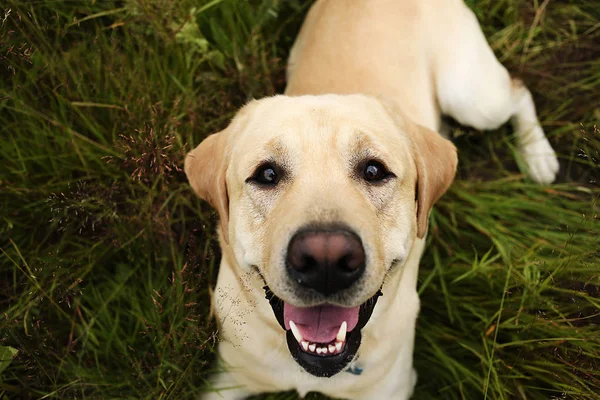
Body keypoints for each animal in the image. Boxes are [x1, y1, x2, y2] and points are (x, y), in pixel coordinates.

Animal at [185, 1, 560, 398]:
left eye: (374, 171)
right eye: (267, 175)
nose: (326, 261)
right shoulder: (226, 379)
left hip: (474, 98)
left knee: (519, 92)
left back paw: (537, 155)